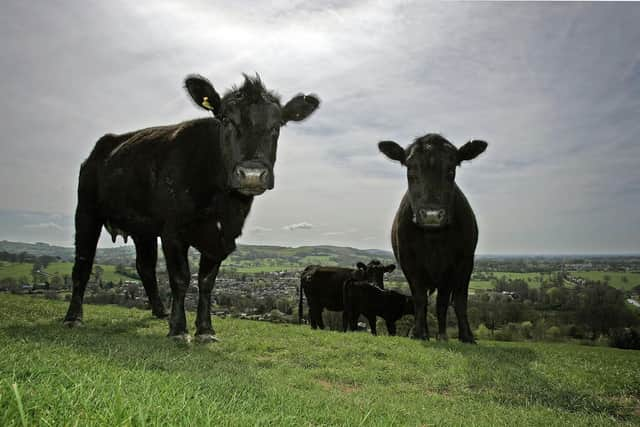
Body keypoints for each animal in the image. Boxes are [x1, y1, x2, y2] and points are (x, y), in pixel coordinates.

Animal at [65, 72, 320, 342]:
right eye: (226, 119)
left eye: (277, 125)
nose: (251, 174)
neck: (222, 204)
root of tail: (105, 144)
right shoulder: (173, 231)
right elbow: (181, 278)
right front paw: (179, 330)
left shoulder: (222, 237)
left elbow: (206, 282)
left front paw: (205, 329)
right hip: (86, 211)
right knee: (83, 263)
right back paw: (73, 317)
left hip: (143, 227)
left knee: (145, 267)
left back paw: (160, 311)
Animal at [378, 135, 488, 344]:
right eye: (410, 170)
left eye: (451, 170)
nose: (431, 215)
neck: (433, 239)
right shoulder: (409, 262)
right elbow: (420, 299)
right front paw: (417, 333)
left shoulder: (463, 262)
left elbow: (455, 301)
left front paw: (463, 336)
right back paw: (424, 332)